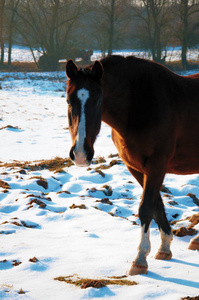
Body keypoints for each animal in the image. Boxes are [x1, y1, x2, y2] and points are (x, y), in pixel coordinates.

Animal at [65, 55, 199, 276]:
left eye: (98, 100)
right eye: (68, 100)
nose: (81, 154)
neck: (140, 105)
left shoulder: (156, 165)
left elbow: (146, 207)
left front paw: (140, 259)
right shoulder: (136, 168)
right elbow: (157, 205)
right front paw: (164, 248)